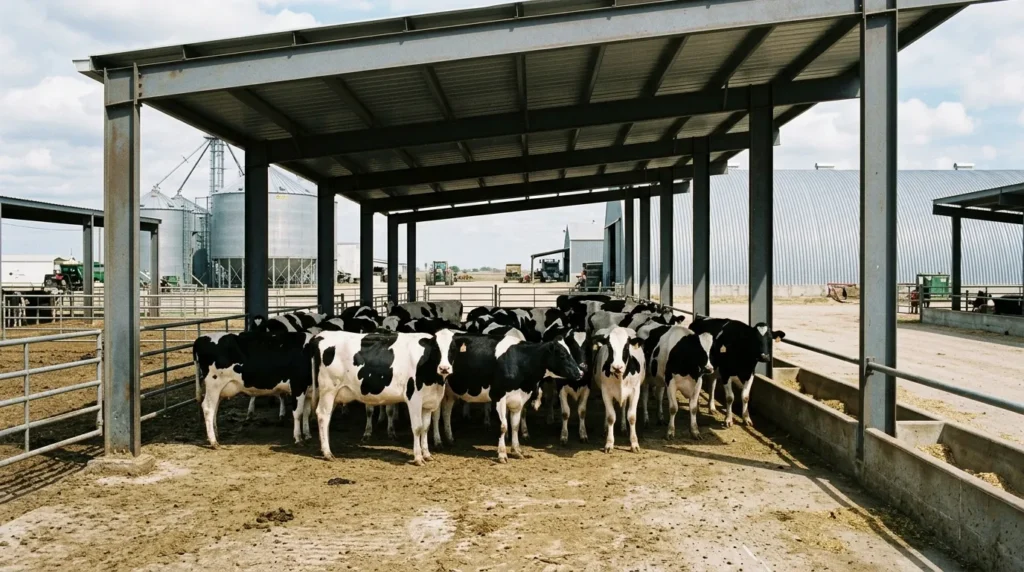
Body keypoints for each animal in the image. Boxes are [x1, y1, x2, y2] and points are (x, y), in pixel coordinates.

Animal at [310, 329, 456, 465]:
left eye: (452, 348)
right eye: (436, 348)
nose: (444, 368)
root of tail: (321, 334)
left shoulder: (428, 402)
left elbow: (425, 427)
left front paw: (427, 454)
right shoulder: (414, 399)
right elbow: (417, 428)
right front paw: (418, 458)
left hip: (333, 395)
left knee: (327, 417)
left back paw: (324, 449)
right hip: (328, 390)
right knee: (322, 415)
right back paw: (327, 453)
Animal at [439, 332, 584, 462]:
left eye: (571, 353)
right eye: (563, 355)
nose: (580, 373)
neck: (521, 362)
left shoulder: (519, 399)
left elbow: (515, 425)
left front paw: (516, 451)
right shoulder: (499, 397)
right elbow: (503, 426)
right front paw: (502, 454)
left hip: (450, 393)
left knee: (446, 411)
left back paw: (450, 438)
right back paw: (438, 441)